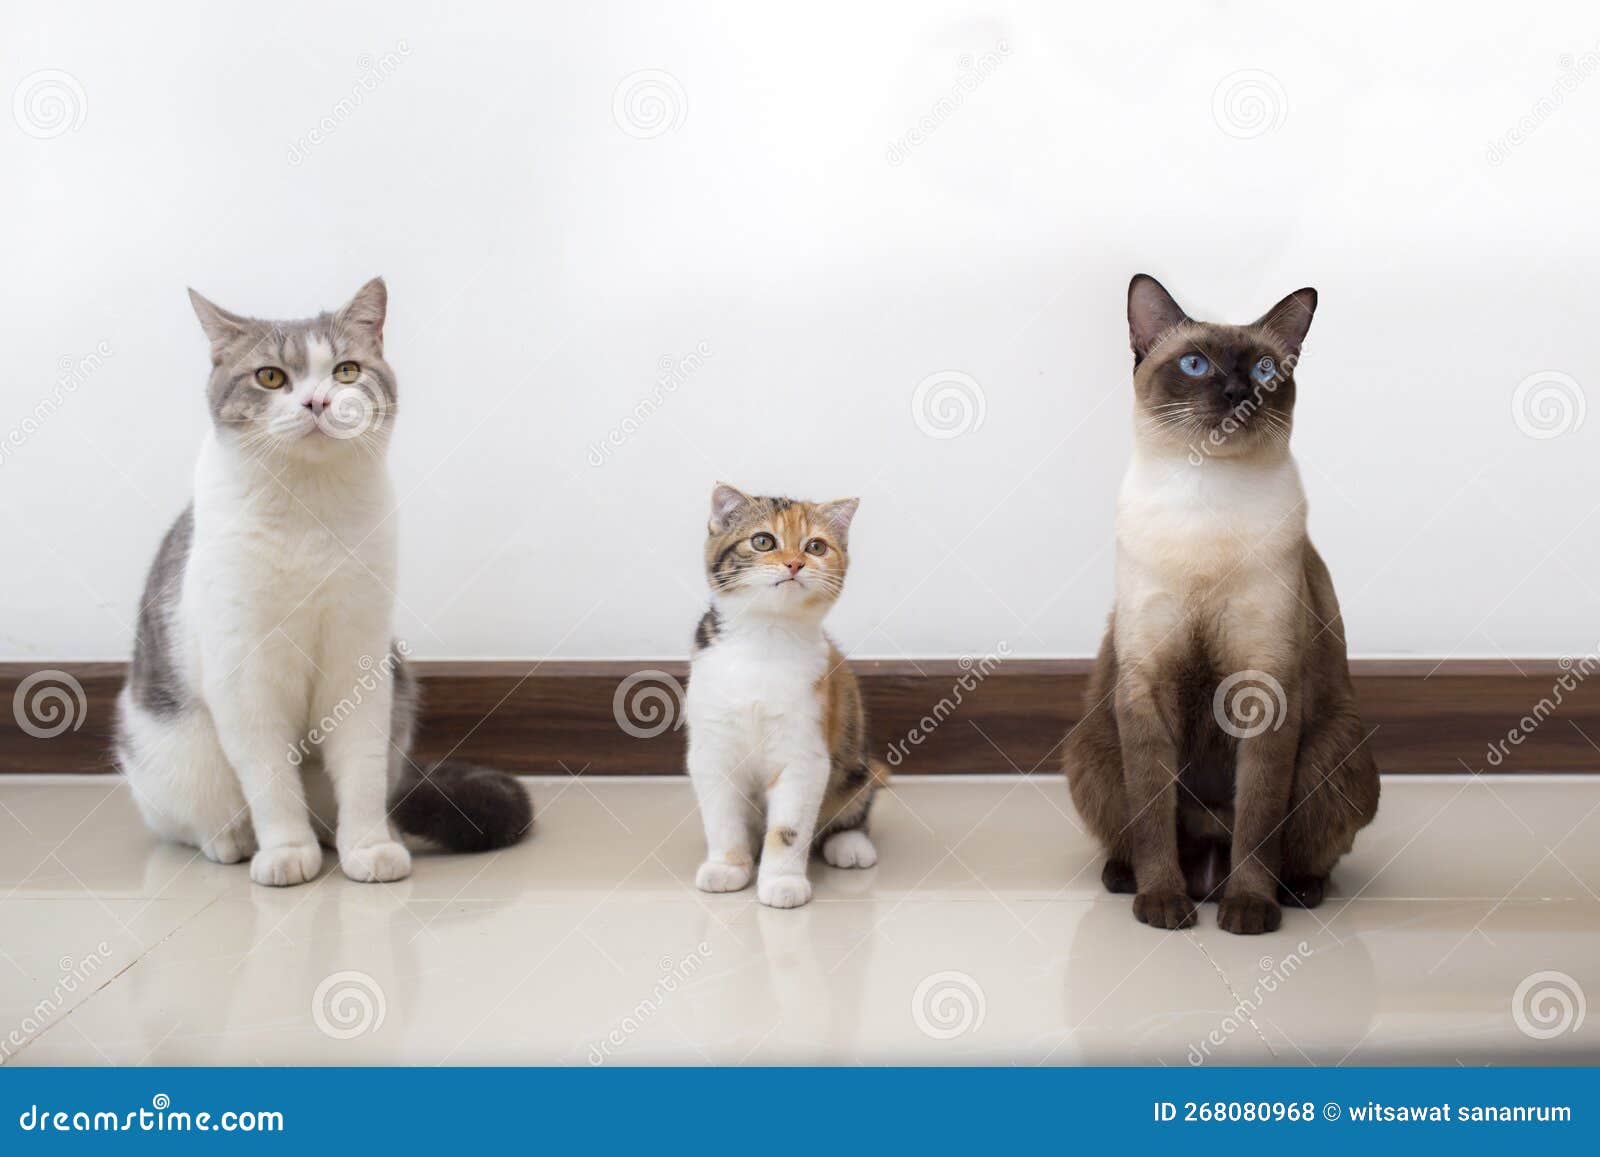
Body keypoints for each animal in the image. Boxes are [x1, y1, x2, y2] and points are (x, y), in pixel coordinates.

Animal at [120, 280, 531, 889]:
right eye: (270, 377)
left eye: (346, 370)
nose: (317, 402)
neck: (308, 511)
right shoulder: (246, 676)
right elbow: (269, 778)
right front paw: (286, 851)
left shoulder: (358, 660)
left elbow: (360, 769)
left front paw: (368, 846)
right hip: (165, 749)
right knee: (195, 816)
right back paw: (233, 840)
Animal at [684, 483, 889, 908]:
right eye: (763, 541)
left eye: (816, 546)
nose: (795, 564)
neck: (767, 636)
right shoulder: (711, 748)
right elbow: (721, 816)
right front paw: (728, 866)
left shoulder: (805, 751)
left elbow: (789, 826)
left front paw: (782, 881)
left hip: (853, 752)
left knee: (854, 803)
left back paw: (849, 843)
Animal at [1062, 280, 1376, 940]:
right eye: (1194, 365)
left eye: (1264, 371)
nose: (1236, 393)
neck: (1205, 502)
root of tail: (1209, 862)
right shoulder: (1146, 687)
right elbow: (1153, 819)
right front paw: (1162, 906)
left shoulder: (1265, 686)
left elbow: (1258, 823)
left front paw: (1249, 912)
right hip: (1091, 749)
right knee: (1139, 837)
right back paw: (1135, 882)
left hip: (1337, 751)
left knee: (1290, 851)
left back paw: (1287, 893)